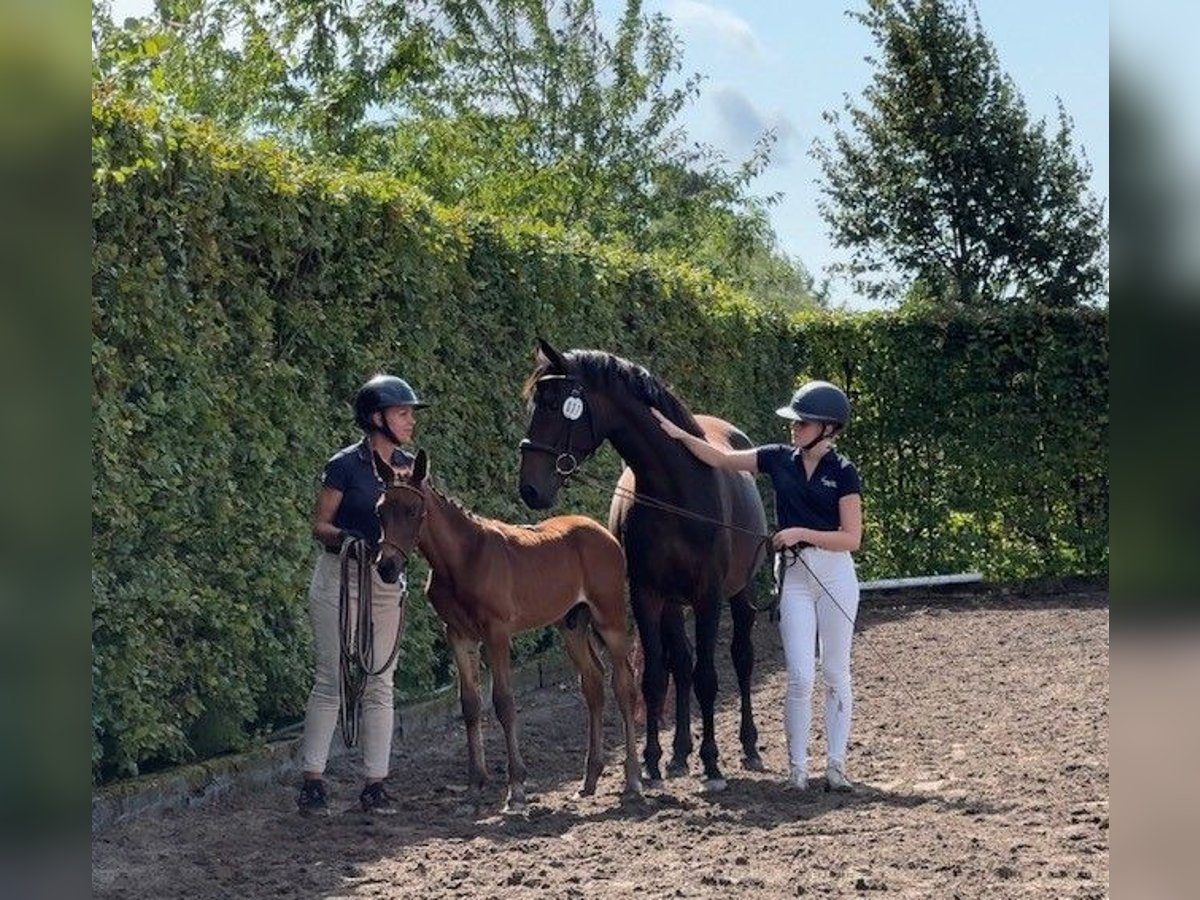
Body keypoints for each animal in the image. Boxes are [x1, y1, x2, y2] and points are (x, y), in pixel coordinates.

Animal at [374, 451, 643, 811]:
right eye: (380, 509)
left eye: (413, 511)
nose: (387, 567)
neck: (463, 559)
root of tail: (605, 533)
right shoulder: (457, 634)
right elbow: (470, 704)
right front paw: (475, 784)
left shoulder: (496, 633)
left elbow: (503, 702)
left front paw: (515, 788)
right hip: (571, 624)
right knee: (593, 683)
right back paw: (589, 779)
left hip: (609, 619)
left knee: (624, 685)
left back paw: (633, 779)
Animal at [518, 338, 768, 787]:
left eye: (553, 403)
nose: (529, 487)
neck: (674, 490)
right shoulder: (647, 594)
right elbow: (654, 678)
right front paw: (652, 761)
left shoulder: (708, 596)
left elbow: (708, 677)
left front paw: (712, 762)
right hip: (671, 603)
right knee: (680, 665)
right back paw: (679, 754)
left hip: (741, 591)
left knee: (741, 657)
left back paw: (748, 746)